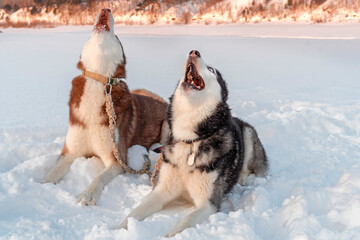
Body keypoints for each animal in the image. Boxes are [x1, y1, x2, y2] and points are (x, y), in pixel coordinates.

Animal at [43, 8, 167, 204]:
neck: (98, 78)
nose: (105, 9)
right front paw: (42, 184)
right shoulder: (70, 151)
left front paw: (87, 194)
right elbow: (53, 171)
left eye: (116, 36)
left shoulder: (117, 160)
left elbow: (99, 177)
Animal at [119, 50, 268, 236]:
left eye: (211, 70)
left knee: (247, 165)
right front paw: (118, 228)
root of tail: (238, 120)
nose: (194, 52)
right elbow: (136, 212)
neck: (190, 140)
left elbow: (185, 222)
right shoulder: (162, 189)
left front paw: (169, 236)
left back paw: (242, 177)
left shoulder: (208, 203)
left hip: (248, 134)